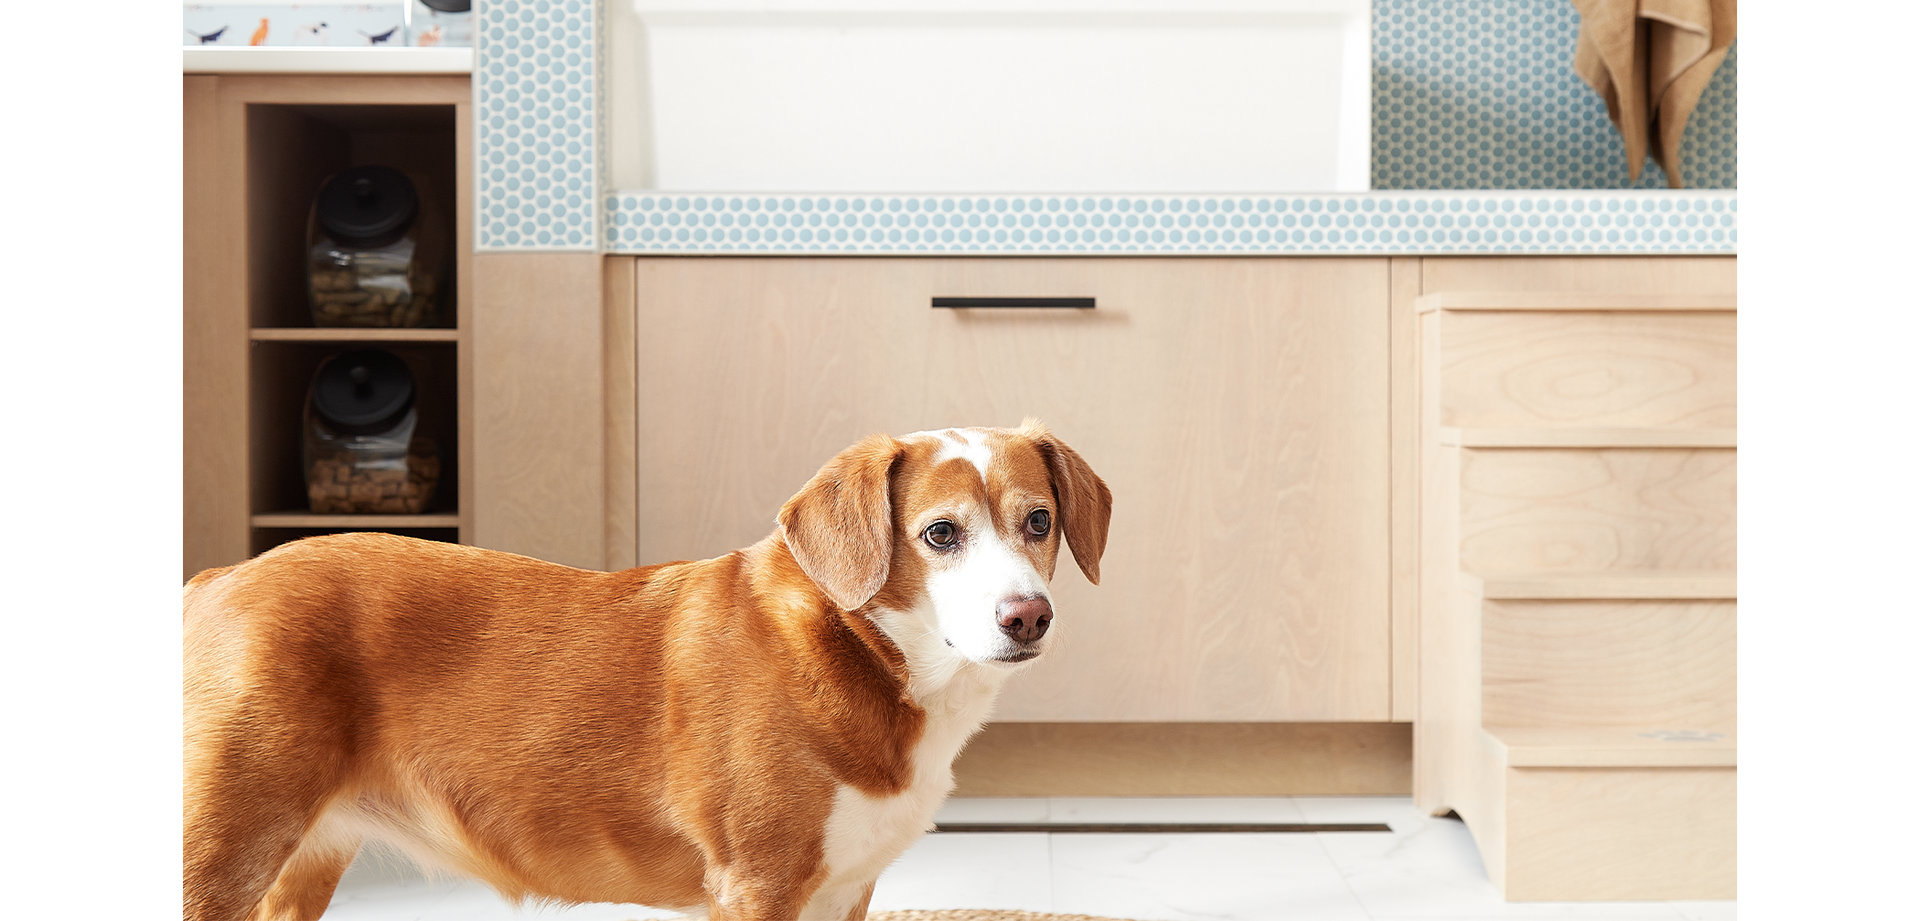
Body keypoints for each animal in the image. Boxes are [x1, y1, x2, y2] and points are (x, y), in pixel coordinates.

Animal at [183, 420, 1113, 917]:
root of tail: (216, 579)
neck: (867, 655)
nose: (1028, 615)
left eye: (1038, 521)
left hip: (300, 862)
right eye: (941, 533)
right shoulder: (757, 883)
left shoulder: (846, 890)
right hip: (218, 856)